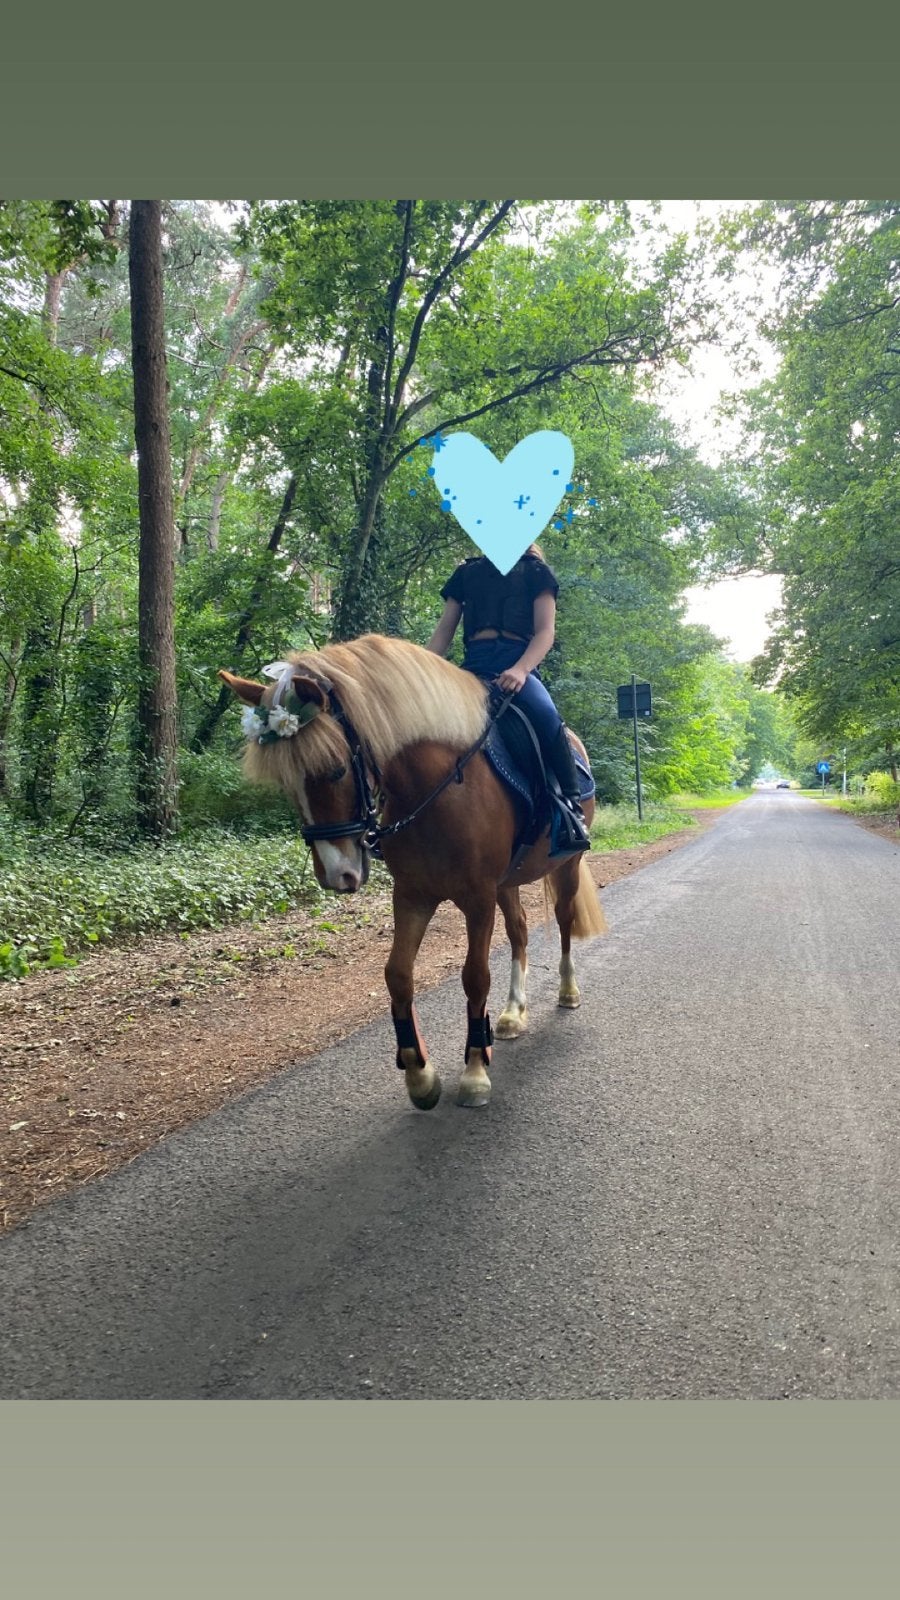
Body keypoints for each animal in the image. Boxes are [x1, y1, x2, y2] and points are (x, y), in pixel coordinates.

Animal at [219, 634, 606, 1110]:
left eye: (335, 769)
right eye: (287, 785)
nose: (336, 874)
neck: (439, 788)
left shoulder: (477, 898)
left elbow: (475, 977)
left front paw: (474, 1072)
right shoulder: (412, 896)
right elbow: (397, 975)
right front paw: (419, 1074)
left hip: (566, 867)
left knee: (564, 920)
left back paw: (568, 992)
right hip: (508, 883)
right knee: (519, 931)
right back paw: (513, 1013)